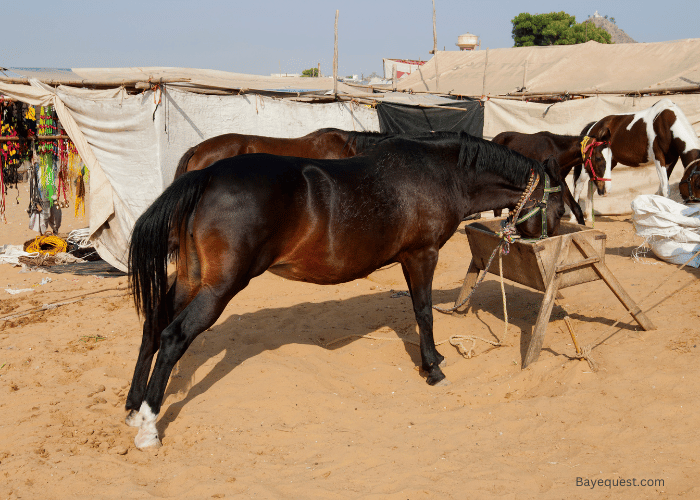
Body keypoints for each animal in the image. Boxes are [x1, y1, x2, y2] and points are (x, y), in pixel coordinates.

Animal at [126, 132, 568, 450]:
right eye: (562, 208)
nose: (551, 245)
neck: (439, 173)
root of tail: (207, 176)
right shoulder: (421, 255)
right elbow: (423, 312)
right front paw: (433, 368)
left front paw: (435, 358)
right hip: (219, 286)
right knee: (173, 335)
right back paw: (148, 426)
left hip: (190, 278)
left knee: (153, 325)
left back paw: (133, 407)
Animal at [572, 98, 700, 215]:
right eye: (697, 184)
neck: (667, 124)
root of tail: (594, 125)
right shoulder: (659, 158)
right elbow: (664, 189)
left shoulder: (671, 161)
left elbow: (661, 189)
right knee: (579, 185)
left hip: (608, 163)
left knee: (593, 184)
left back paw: (589, 217)